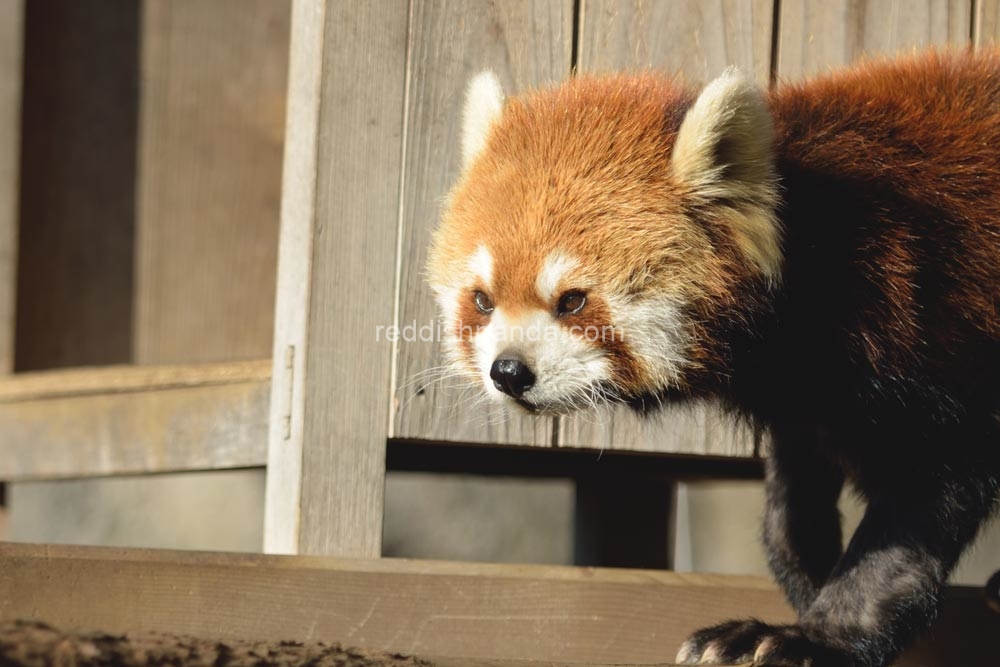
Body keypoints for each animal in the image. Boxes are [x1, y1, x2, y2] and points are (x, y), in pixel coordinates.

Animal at [428, 52, 1000, 667]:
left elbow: (921, 506)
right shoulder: (806, 400)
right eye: (482, 301)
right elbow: (791, 506)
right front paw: (804, 587)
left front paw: (815, 637)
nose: (509, 371)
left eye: (573, 300)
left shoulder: (939, 338)